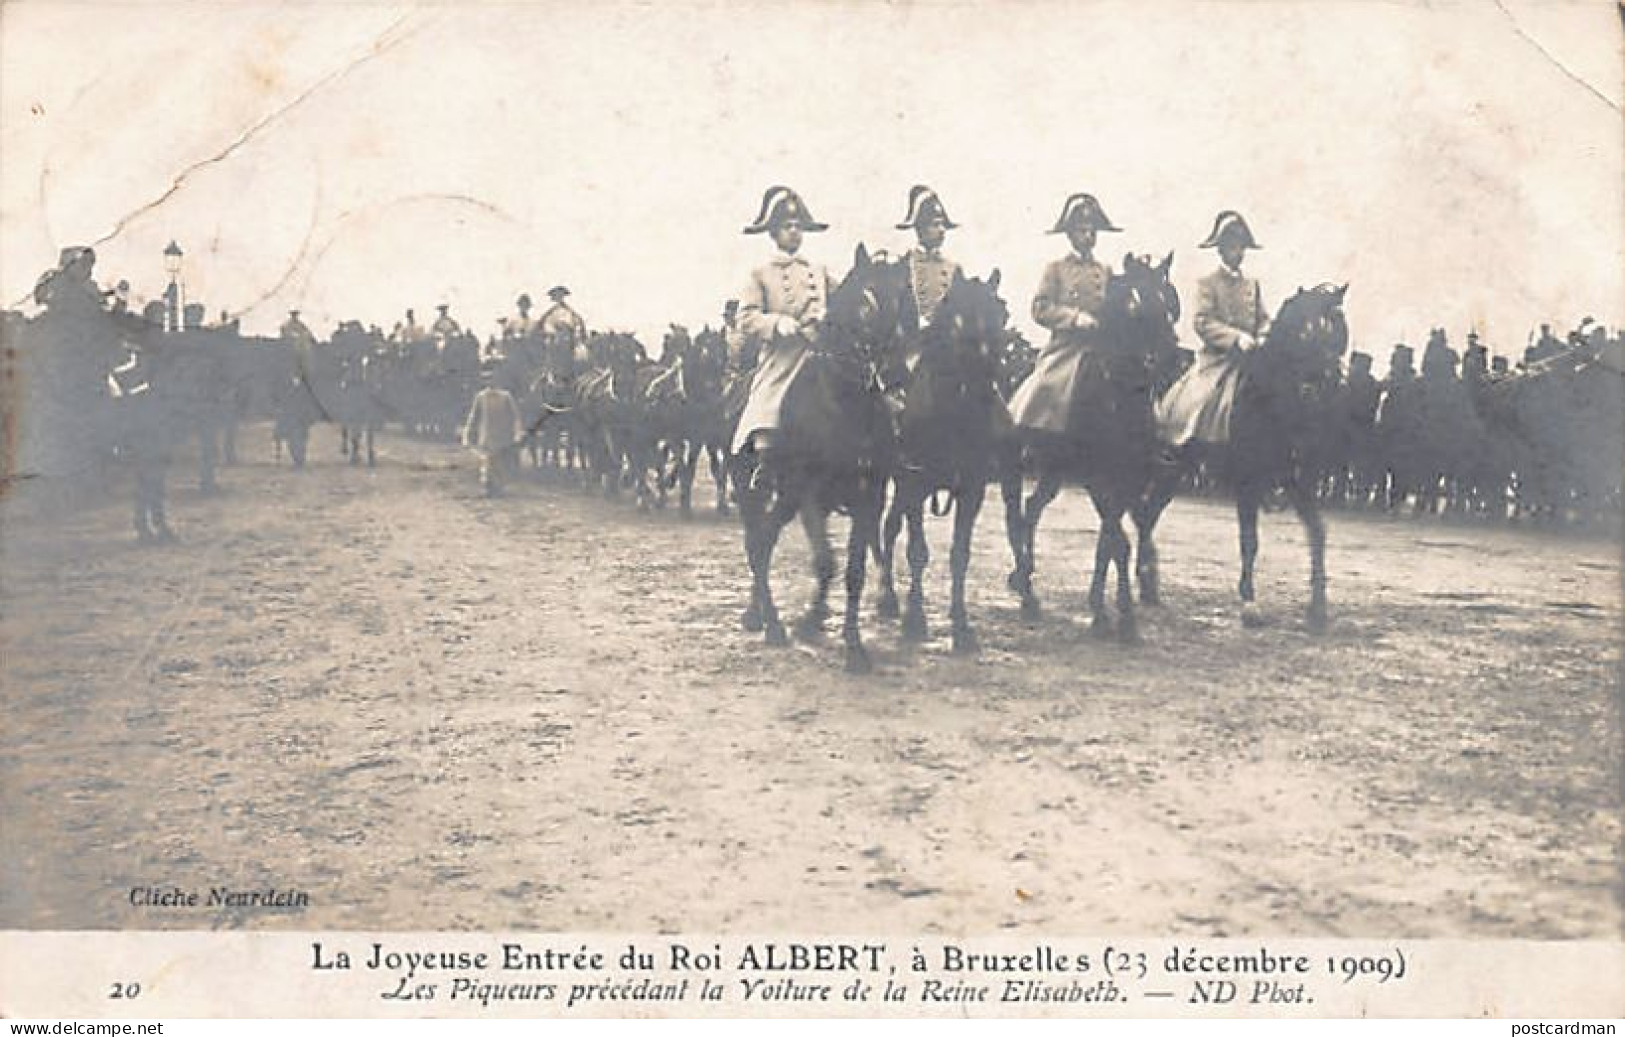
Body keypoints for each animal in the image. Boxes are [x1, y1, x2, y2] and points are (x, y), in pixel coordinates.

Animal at [734, 247, 910, 679]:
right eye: (865, 299)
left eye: (905, 299)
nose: (898, 376)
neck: (844, 405)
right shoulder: (811, 496)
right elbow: (826, 562)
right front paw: (813, 623)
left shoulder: (868, 498)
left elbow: (853, 571)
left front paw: (851, 644)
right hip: (760, 494)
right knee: (757, 545)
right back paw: (770, 623)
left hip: (787, 501)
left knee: (764, 542)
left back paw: (761, 615)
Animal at [871, 273, 1007, 653]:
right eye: (957, 319)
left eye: (1002, 313)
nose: (986, 388)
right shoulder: (915, 484)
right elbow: (917, 551)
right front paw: (915, 620)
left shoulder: (971, 490)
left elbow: (960, 554)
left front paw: (961, 625)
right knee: (885, 529)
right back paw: (887, 597)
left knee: (891, 526)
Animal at [1001, 253, 1183, 643]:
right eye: (1134, 304)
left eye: (1169, 303)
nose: (1171, 357)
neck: (1117, 398)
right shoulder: (1097, 481)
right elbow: (1118, 543)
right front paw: (1115, 614)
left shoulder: (1128, 481)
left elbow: (1109, 542)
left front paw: (1109, 611)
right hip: (1016, 469)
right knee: (1015, 517)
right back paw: (1026, 591)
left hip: (1054, 473)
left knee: (1032, 508)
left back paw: (1024, 578)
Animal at [1131, 279, 1345, 630]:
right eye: (1305, 330)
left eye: (1339, 326)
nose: (1329, 378)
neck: (1272, 399)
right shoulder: (1248, 482)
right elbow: (1250, 540)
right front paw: (1249, 603)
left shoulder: (1296, 482)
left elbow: (1317, 531)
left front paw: (1317, 610)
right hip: (1164, 469)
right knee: (1142, 514)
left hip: (1173, 475)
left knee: (1146, 515)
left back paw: (1148, 585)